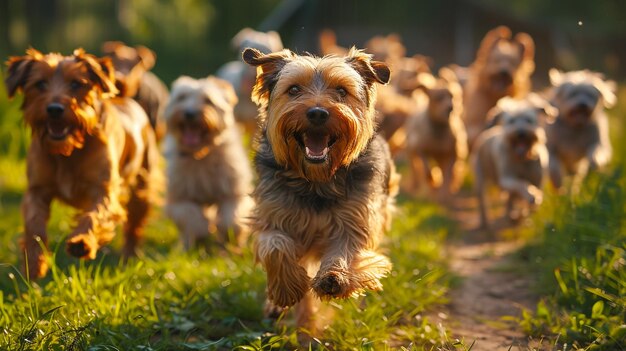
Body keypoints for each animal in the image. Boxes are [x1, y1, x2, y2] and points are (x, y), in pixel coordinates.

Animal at [4, 48, 158, 280]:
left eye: (77, 84)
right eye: (40, 84)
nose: (55, 109)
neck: (69, 151)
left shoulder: (103, 189)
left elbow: (95, 215)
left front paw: (82, 242)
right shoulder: (37, 190)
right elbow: (34, 225)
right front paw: (33, 262)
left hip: (141, 187)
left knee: (134, 226)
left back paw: (128, 257)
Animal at [165, 75, 255, 252]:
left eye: (208, 100)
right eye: (182, 97)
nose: (189, 113)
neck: (201, 156)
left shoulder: (233, 193)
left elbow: (231, 218)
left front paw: (230, 238)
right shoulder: (179, 198)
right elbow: (191, 216)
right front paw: (202, 231)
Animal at [241, 47, 398, 340]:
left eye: (341, 91)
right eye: (293, 89)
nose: (317, 113)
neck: (316, 180)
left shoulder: (356, 216)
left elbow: (346, 245)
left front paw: (334, 277)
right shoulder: (273, 212)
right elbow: (275, 245)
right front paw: (285, 289)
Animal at [404, 67, 464, 199]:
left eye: (452, 96)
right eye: (438, 98)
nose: (451, 108)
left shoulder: (452, 153)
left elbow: (448, 174)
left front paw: (444, 193)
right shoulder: (420, 150)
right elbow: (427, 170)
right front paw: (433, 182)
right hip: (411, 151)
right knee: (415, 169)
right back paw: (416, 187)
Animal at [470, 95, 552, 230]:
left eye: (529, 120)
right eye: (511, 121)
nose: (521, 133)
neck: (522, 159)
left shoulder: (538, 179)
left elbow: (529, 202)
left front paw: (527, 209)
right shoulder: (507, 178)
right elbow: (521, 183)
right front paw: (531, 195)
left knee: (510, 200)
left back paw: (513, 215)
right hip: (480, 176)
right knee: (483, 201)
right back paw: (486, 222)